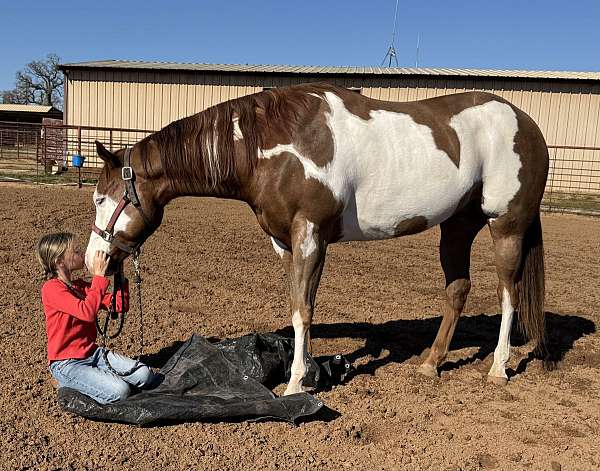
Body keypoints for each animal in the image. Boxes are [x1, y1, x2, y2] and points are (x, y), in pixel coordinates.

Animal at [85, 83, 548, 396]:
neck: (273, 145)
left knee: (509, 294)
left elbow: (302, 311)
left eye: (100, 198)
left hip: (506, 226)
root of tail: (527, 123)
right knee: (458, 290)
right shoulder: (288, 244)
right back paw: (430, 364)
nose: (94, 260)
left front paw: (294, 386)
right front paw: (306, 372)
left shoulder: (310, 235)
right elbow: (298, 307)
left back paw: (498, 368)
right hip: (456, 227)